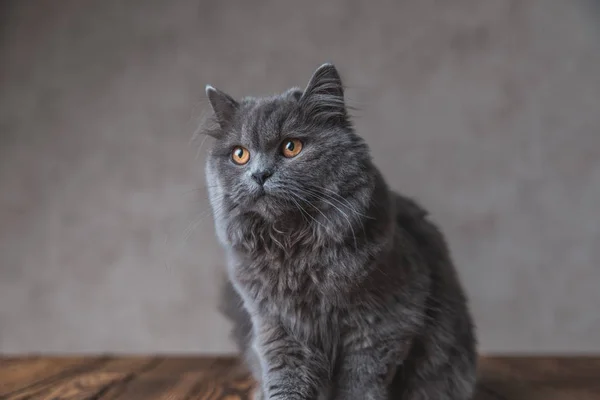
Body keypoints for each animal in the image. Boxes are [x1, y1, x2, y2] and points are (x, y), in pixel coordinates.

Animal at [204, 64, 476, 398]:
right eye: (240, 154)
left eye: (291, 147)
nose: (259, 174)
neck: (293, 247)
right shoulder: (277, 330)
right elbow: (285, 382)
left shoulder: (382, 326)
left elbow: (360, 384)